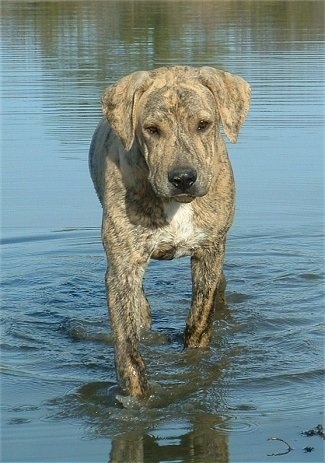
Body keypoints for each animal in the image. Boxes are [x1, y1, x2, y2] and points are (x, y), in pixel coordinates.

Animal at [88, 65, 251, 398]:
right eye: (151, 129)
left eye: (203, 125)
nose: (183, 178)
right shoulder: (122, 264)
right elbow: (126, 342)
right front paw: (136, 397)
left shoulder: (210, 252)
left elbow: (199, 319)